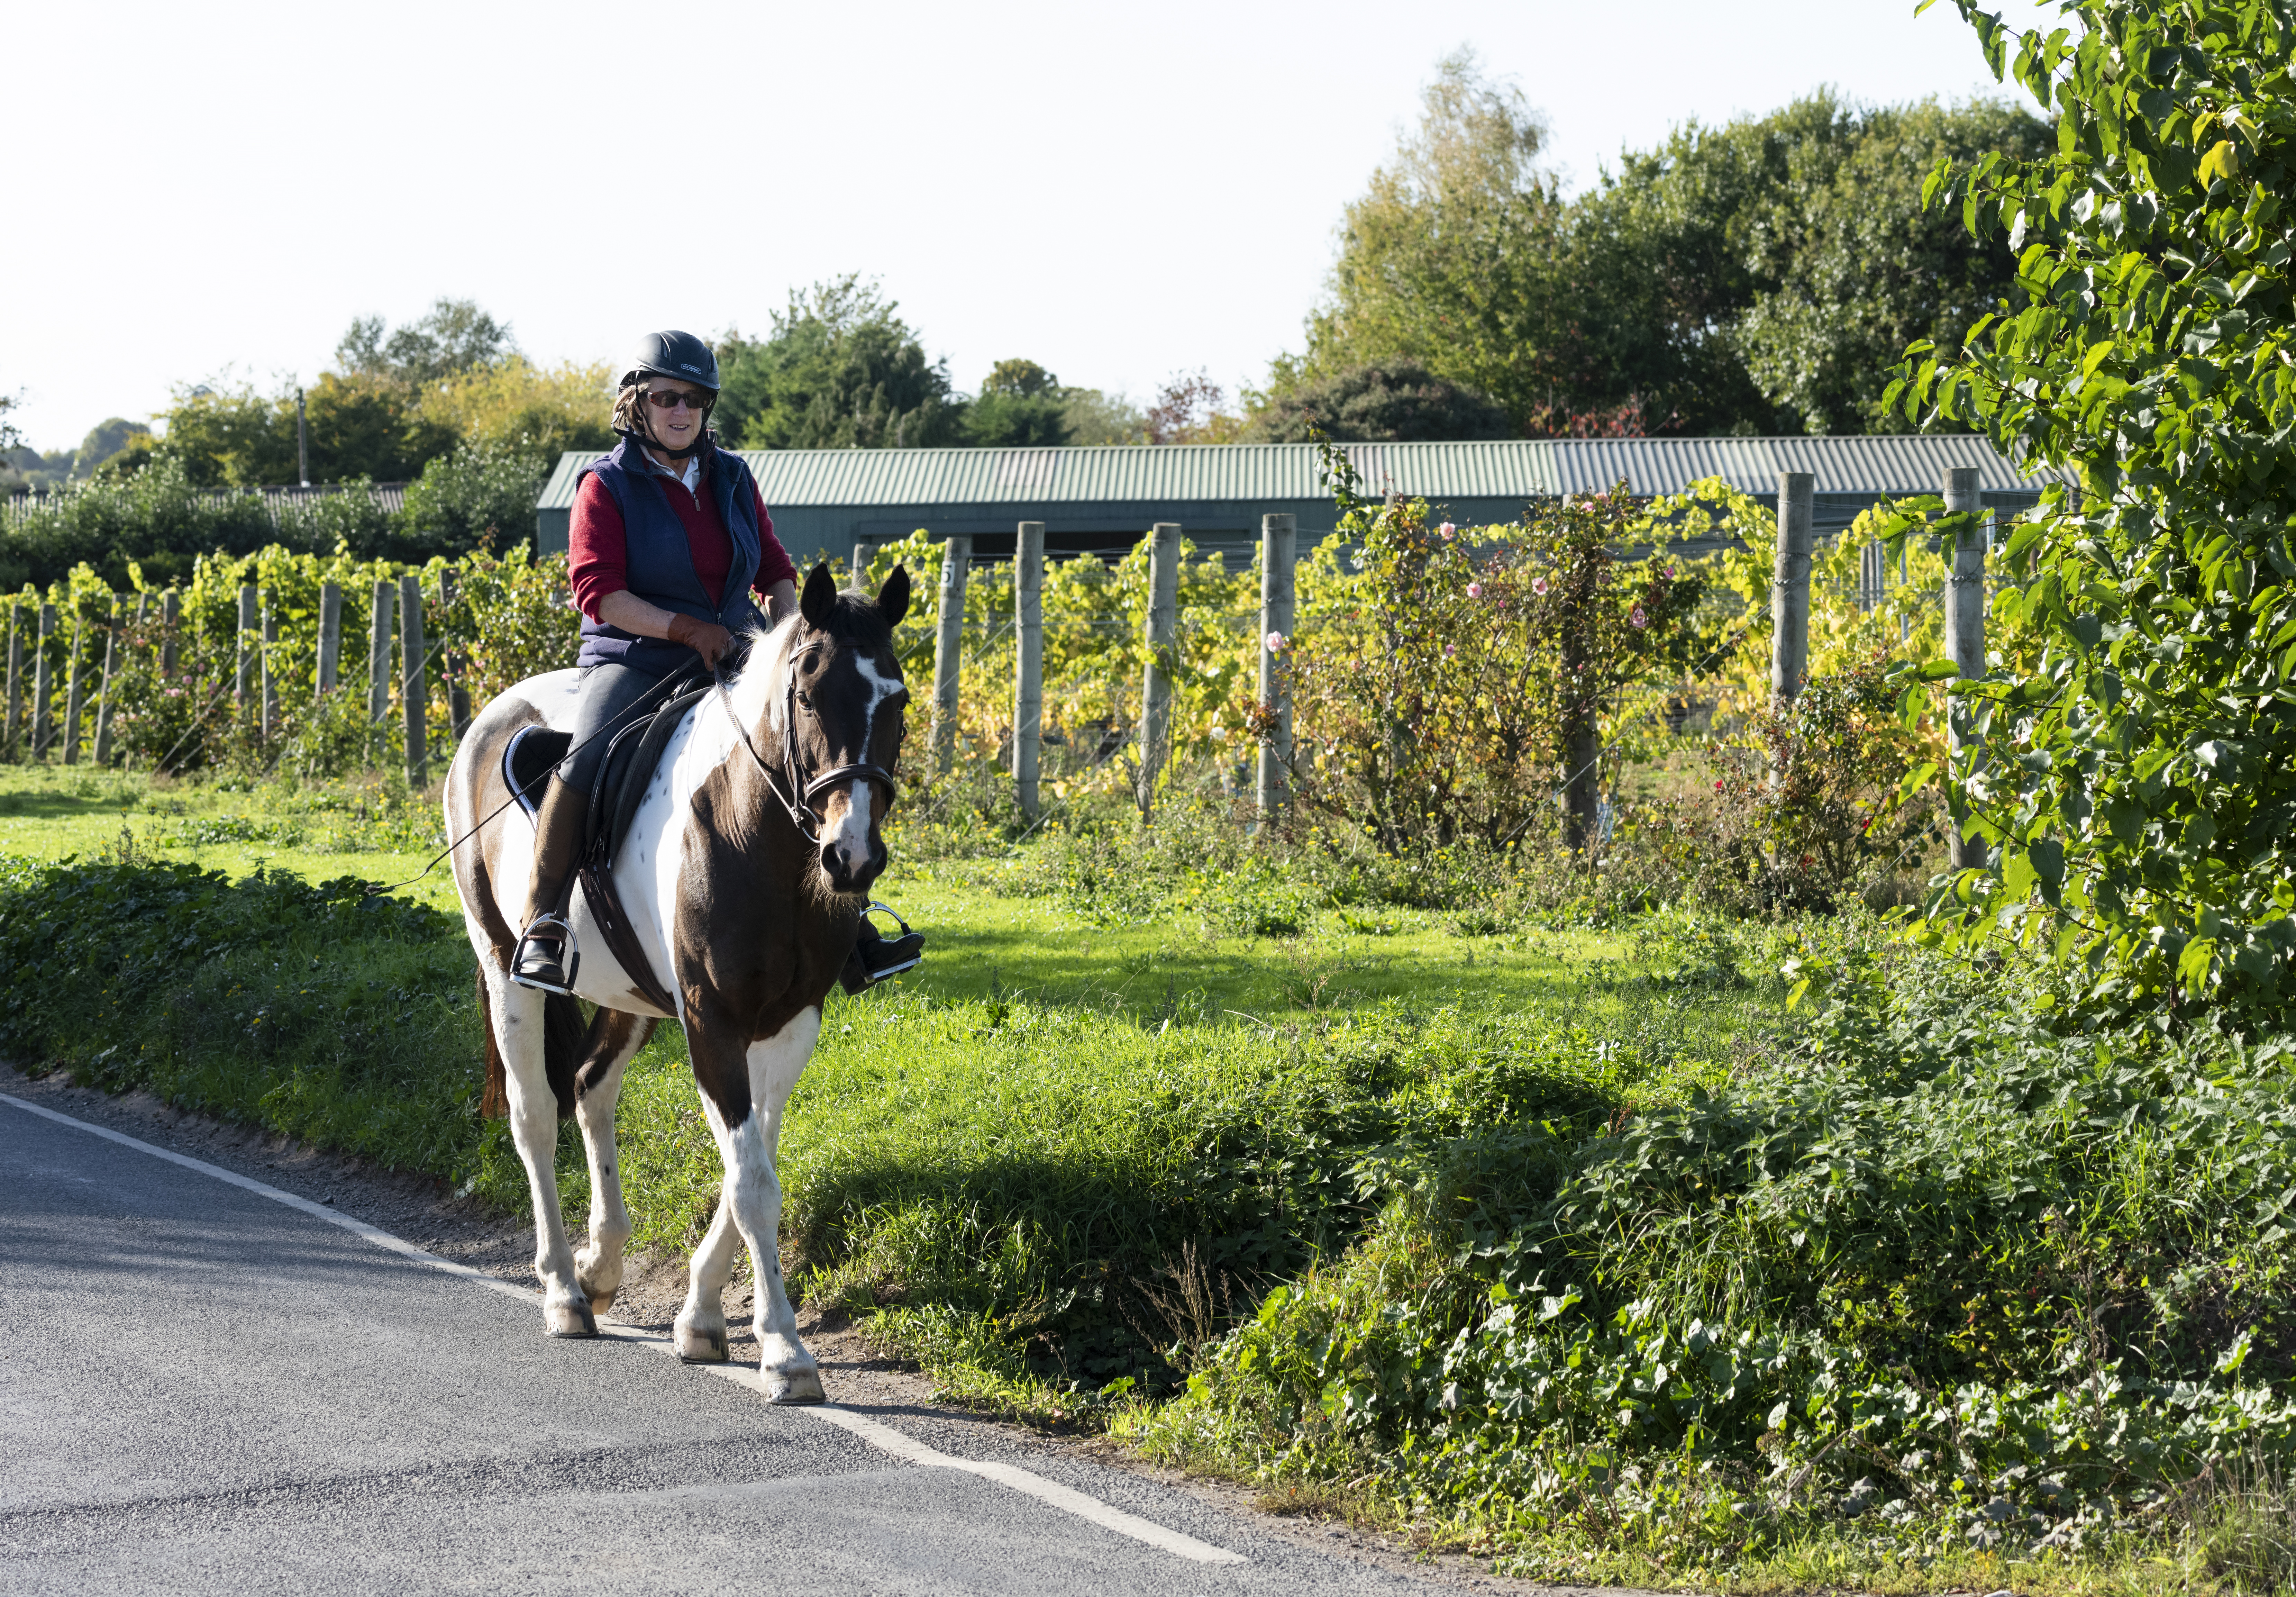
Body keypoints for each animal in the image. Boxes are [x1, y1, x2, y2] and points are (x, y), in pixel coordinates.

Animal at [443, 558, 909, 1397]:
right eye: (807, 694)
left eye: (899, 700)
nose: (852, 856)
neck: (755, 832)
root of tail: (492, 715)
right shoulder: (712, 1019)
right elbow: (752, 1182)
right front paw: (785, 1350)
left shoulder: (791, 1025)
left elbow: (750, 1163)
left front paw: (701, 1318)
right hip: (505, 972)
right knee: (536, 1117)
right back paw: (563, 1290)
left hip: (630, 996)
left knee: (591, 1089)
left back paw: (600, 1266)